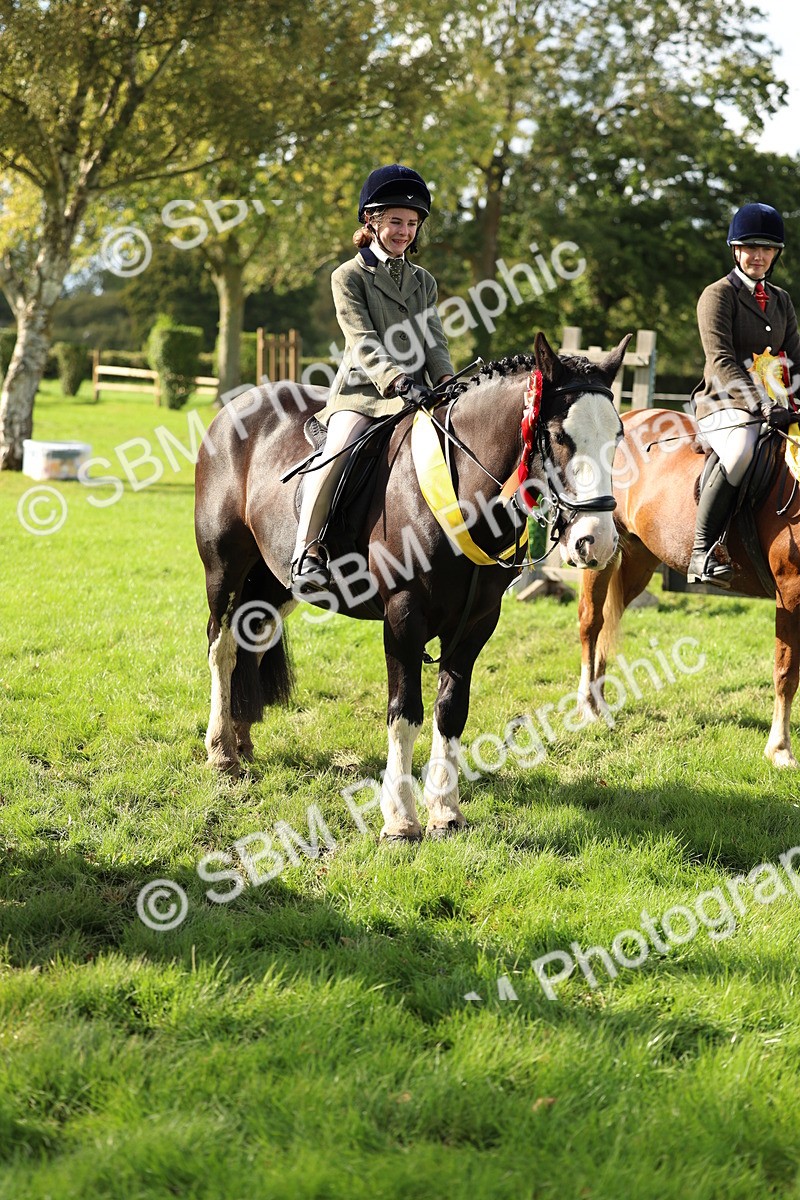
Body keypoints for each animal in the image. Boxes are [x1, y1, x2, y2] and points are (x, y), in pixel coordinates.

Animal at [194, 331, 630, 841]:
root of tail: (237, 405)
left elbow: (451, 710)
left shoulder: (478, 621)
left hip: (276, 581)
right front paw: (400, 819)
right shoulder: (403, 617)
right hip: (226, 569)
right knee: (221, 646)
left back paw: (241, 738)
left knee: (253, 639)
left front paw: (445, 812)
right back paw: (222, 751)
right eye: (561, 436)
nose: (597, 542)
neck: (465, 492)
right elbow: (404, 713)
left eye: (618, 436)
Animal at [576, 406, 800, 767]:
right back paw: (589, 707)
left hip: (638, 559)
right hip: (597, 549)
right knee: (591, 623)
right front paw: (780, 749)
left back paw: (600, 703)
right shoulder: (790, 590)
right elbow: (786, 670)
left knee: (609, 622)